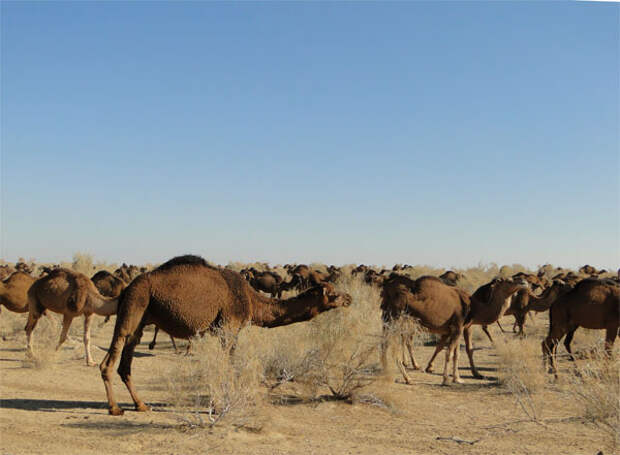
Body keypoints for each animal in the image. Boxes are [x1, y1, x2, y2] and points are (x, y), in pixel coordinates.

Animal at [99, 256, 352, 416]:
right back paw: (115, 408)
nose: (349, 298)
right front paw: (219, 405)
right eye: (333, 293)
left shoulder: (231, 331)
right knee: (111, 358)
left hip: (140, 319)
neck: (251, 299)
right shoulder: (228, 327)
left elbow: (228, 364)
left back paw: (141, 405)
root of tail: (127, 287)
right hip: (134, 306)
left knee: (125, 363)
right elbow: (225, 366)